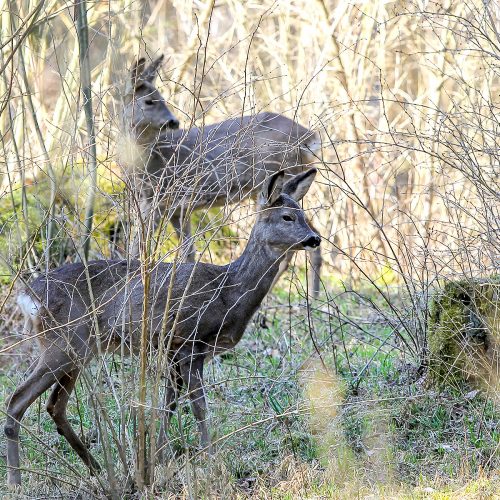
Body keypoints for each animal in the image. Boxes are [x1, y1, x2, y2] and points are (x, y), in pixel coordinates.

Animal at [5, 168, 320, 484]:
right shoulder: (190, 342)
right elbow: (199, 406)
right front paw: (210, 459)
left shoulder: (172, 350)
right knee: (17, 399)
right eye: (287, 217)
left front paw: (157, 458)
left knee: (54, 405)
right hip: (64, 341)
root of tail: (27, 295)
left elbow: (167, 404)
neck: (228, 291)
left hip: (78, 349)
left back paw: (95, 468)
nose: (314, 238)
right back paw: (16, 481)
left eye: (303, 213)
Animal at [123, 55, 322, 296]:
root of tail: (309, 137)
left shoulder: (157, 199)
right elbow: (187, 253)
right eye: (149, 101)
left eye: (161, 98)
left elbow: (137, 248)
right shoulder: (177, 209)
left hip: (274, 176)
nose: (173, 122)